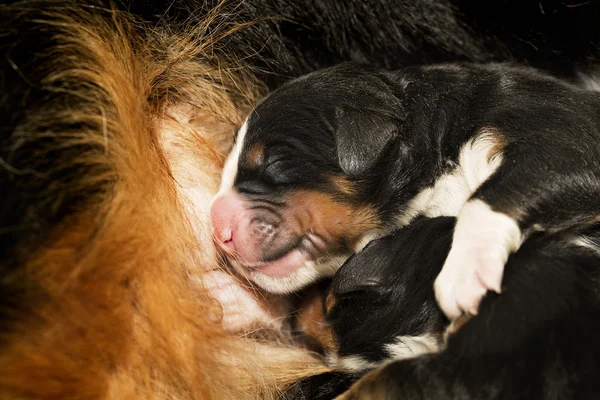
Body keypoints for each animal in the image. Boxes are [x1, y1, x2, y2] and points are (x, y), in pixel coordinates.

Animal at [210, 62, 600, 318]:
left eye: (274, 162)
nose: (217, 229)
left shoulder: (565, 141)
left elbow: (487, 198)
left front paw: (463, 271)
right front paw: (231, 301)